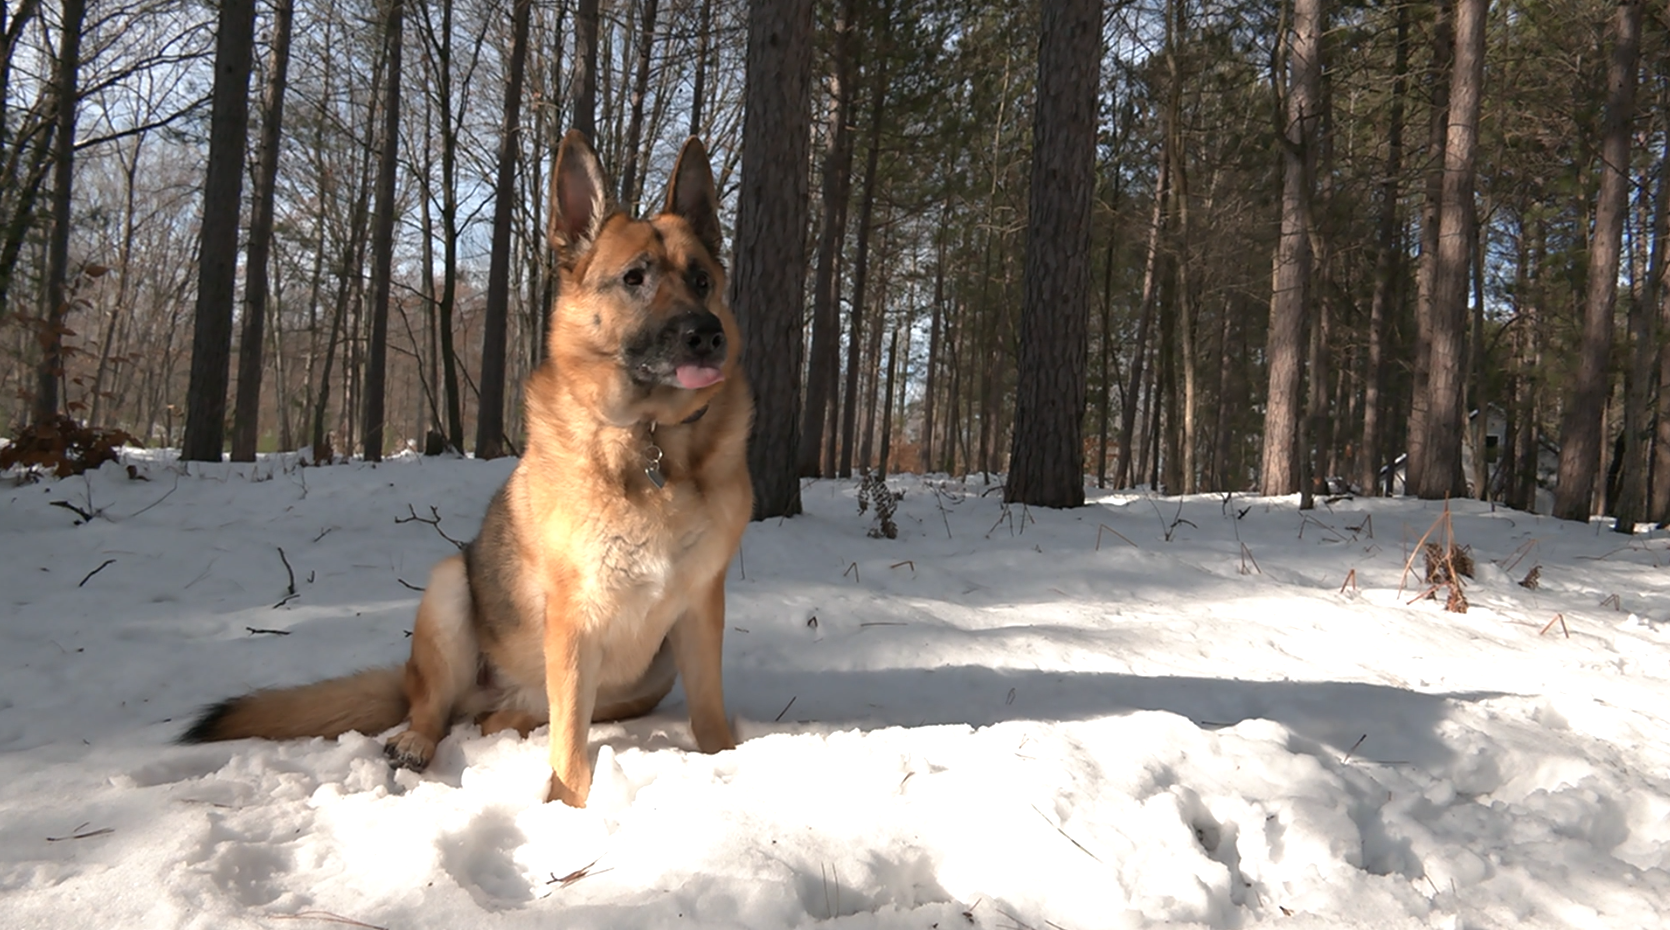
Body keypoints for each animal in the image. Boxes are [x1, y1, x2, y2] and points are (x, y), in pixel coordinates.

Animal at [182, 132, 751, 804]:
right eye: (635, 278)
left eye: (702, 279)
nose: (707, 335)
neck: (651, 442)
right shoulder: (575, 617)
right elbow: (571, 743)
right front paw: (567, 808)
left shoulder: (700, 608)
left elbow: (708, 712)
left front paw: (732, 763)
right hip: (450, 588)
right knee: (437, 707)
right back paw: (419, 740)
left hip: (648, 673)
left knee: (513, 714)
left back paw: (503, 722)